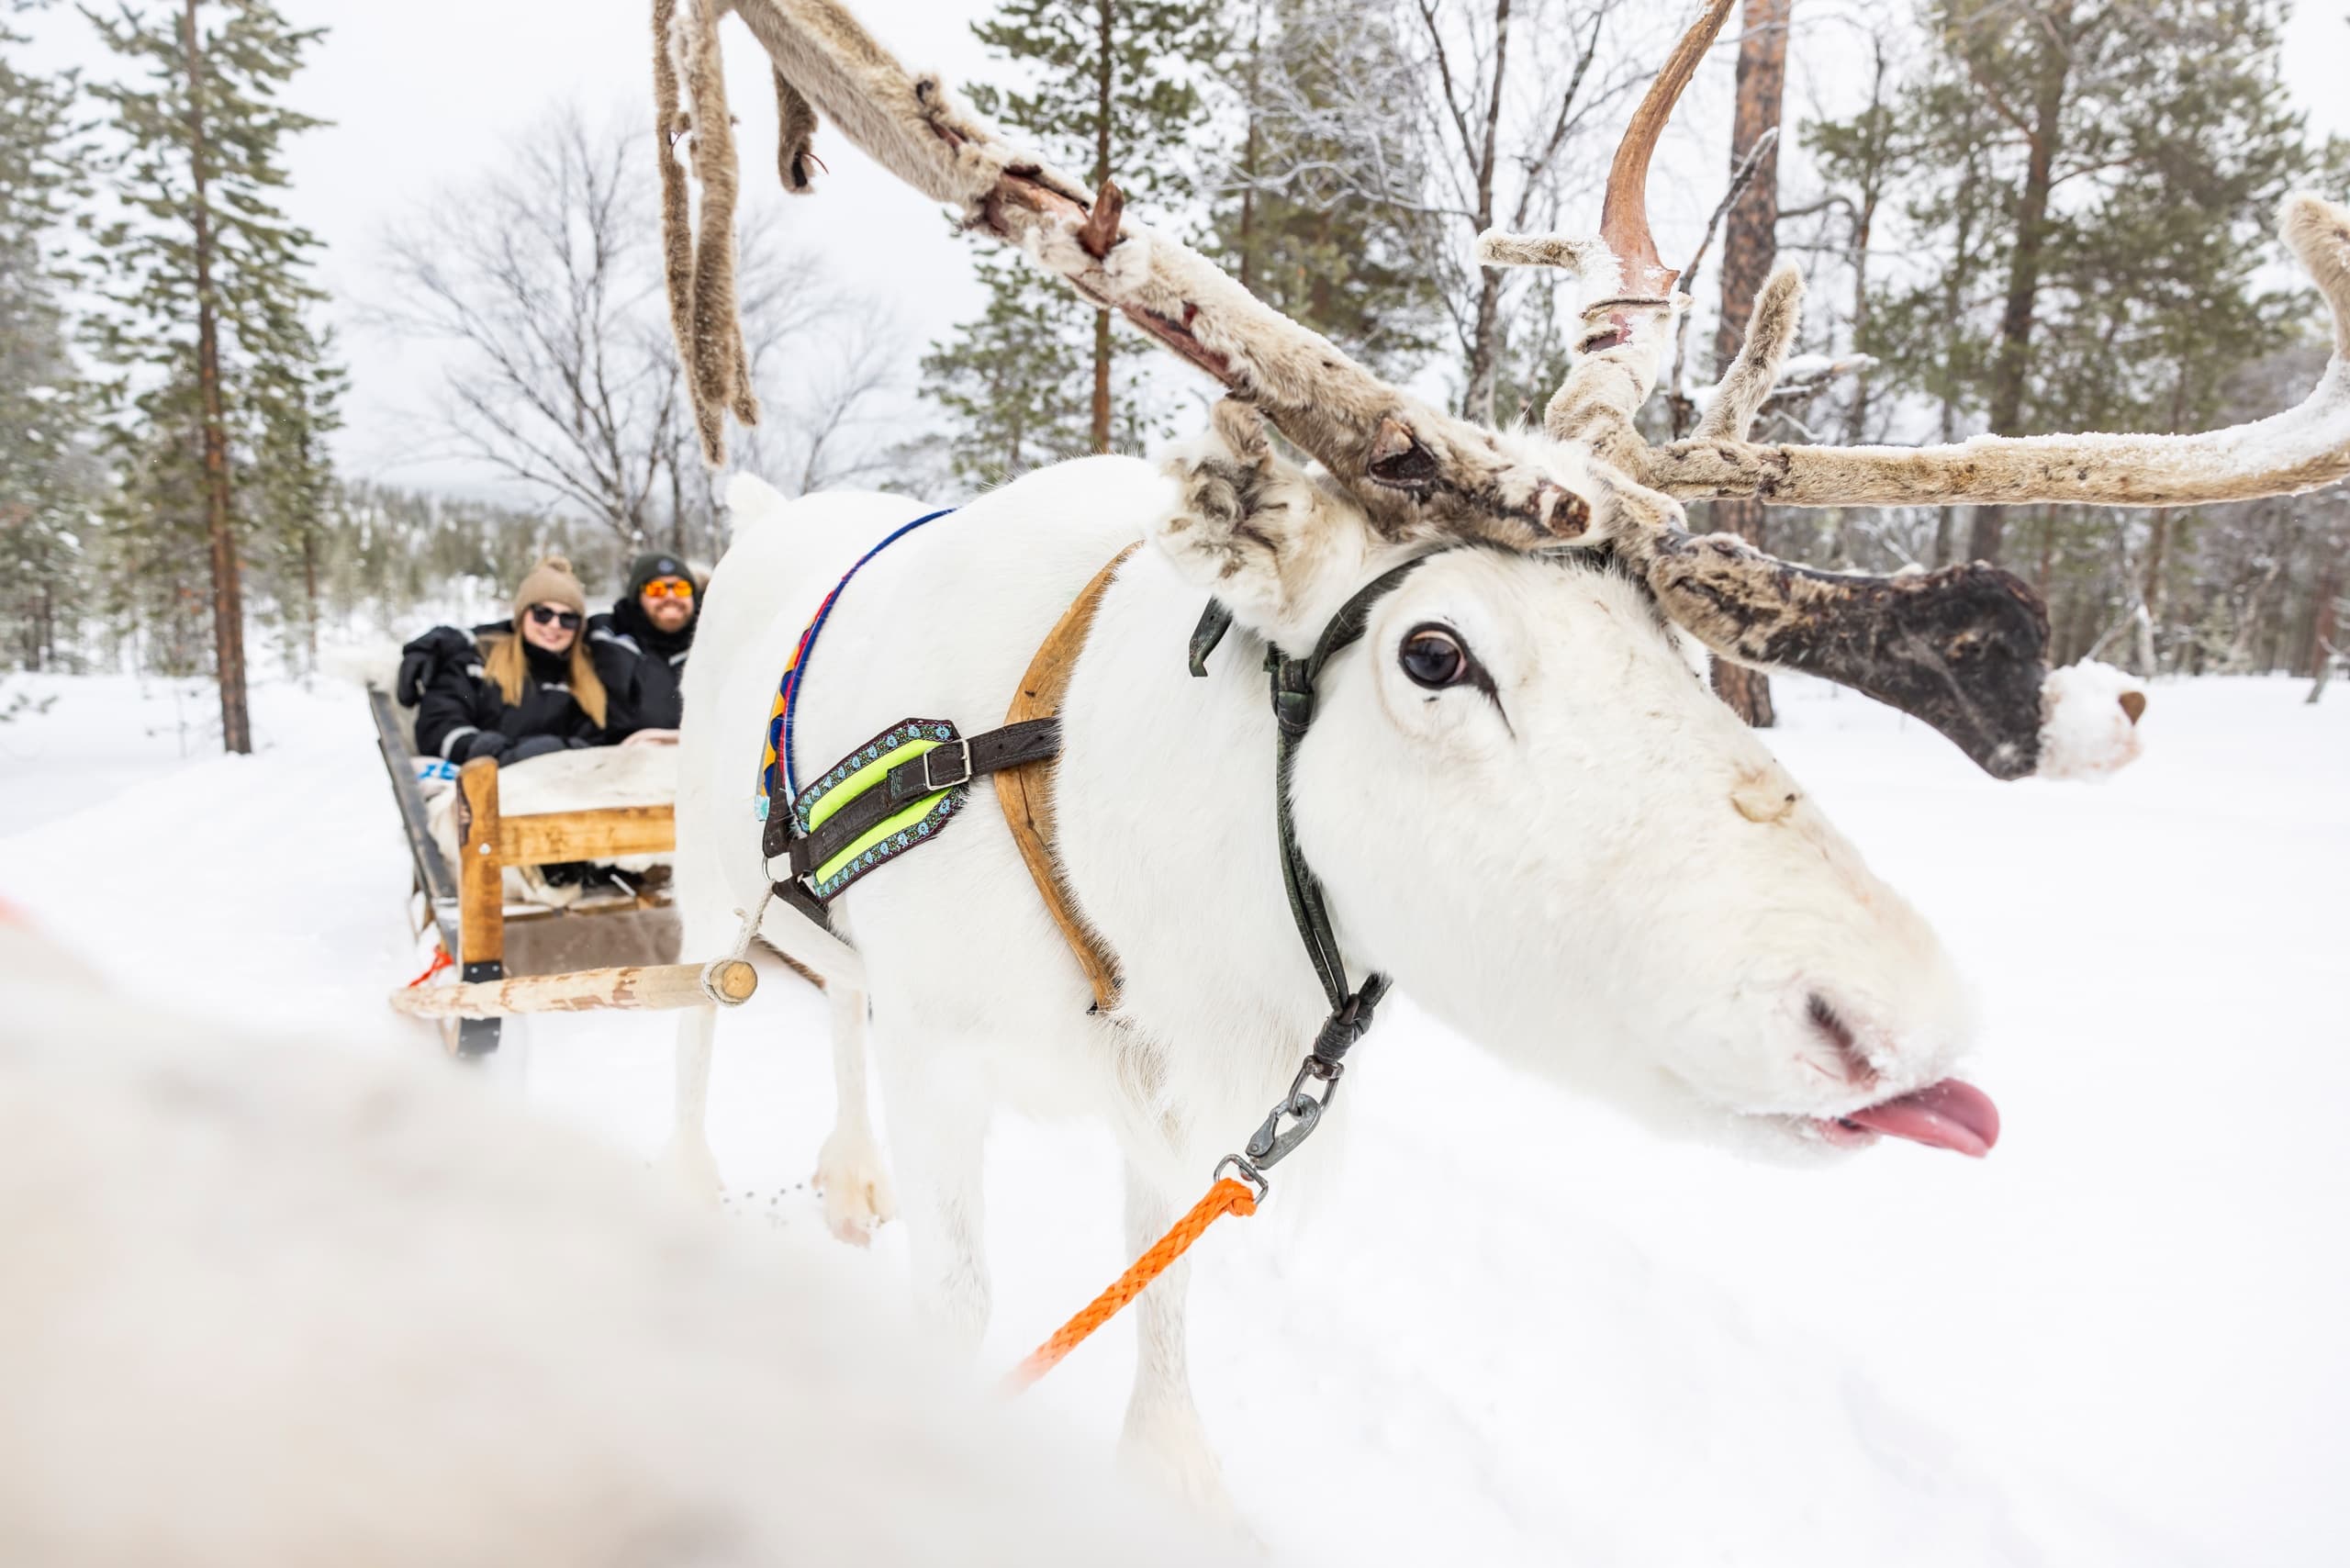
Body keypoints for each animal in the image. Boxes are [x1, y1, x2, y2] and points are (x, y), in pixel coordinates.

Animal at [648, 0, 2350, 1515]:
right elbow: (962, 1307)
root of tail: (759, 512)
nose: (1895, 1024)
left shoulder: (1175, 1104)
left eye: (1674, 646)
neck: (1108, 849)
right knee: (707, 1021)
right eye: (1434, 652)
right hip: (712, 886)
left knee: (833, 992)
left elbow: (1162, 1298)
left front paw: (1175, 1472)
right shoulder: (956, 1063)